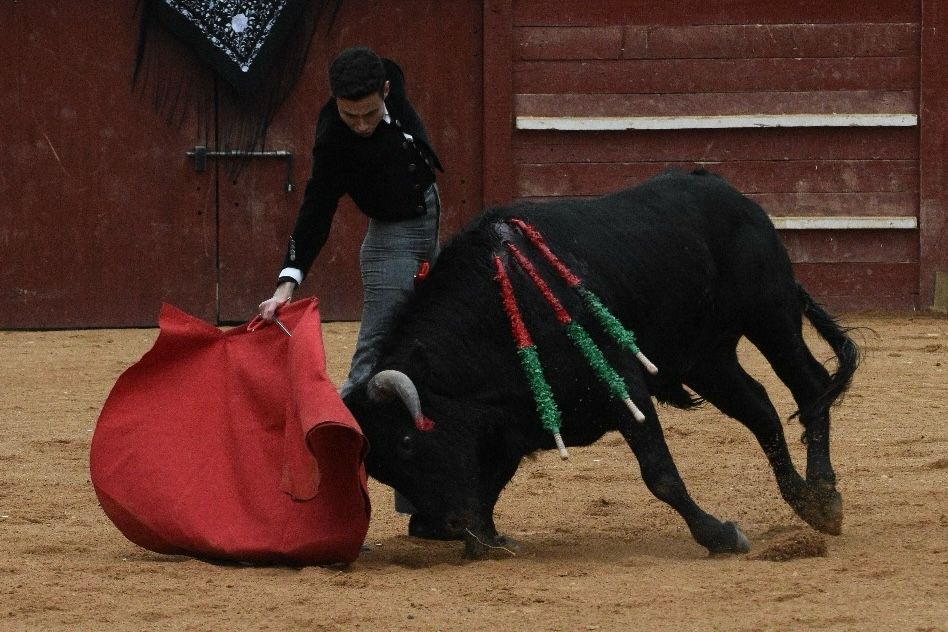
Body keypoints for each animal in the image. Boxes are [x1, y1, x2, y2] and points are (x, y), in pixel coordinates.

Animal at [346, 169, 860, 556]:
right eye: (381, 468)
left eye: (407, 442)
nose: (447, 523)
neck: (497, 309)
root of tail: (730, 192)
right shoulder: (515, 417)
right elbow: (491, 477)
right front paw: (488, 539)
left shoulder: (624, 386)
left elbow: (659, 474)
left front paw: (719, 535)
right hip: (707, 359)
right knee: (760, 409)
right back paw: (805, 501)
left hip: (771, 316)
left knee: (809, 386)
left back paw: (825, 495)